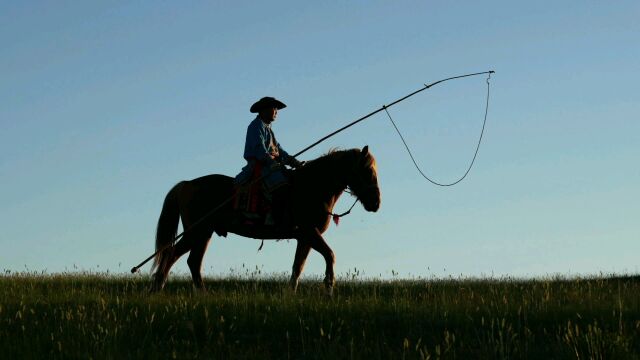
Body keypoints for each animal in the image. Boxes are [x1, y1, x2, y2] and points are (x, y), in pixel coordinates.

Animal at [150, 146, 380, 296]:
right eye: (367, 171)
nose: (376, 203)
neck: (313, 186)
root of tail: (187, 184)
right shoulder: (310, 232)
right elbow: (330, 255)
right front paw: (329, 287)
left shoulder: (304, 238)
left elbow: (298, 266)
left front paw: (291, 293)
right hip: (195, 232)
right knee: (173, 254)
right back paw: (158, 288)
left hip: (203, 234)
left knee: (192, 261)